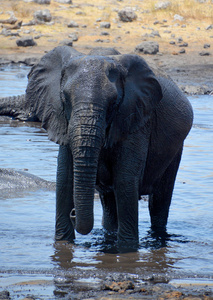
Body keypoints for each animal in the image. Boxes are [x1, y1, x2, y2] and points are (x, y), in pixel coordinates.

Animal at [0, 46, 193, 248]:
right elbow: (64, 179)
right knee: (110, 204)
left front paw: (127, 251)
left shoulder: (136, 120)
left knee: (159, 201)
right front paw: (62, 246)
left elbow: (125, 181)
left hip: (175, 148)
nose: (73, 213)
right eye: (65, 98)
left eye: (114, 103)